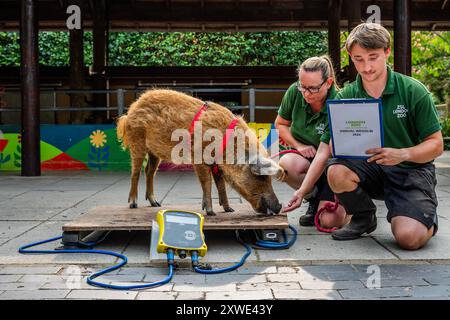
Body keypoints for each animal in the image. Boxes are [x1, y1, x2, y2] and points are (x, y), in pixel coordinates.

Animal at [116, 89, 284, 216]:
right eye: (262, 177)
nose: (279, 206)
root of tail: (131, 110)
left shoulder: (217, 164)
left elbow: (221, 185)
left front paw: (229, 209)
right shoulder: (199, 158)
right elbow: (207, 183)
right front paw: (210, 212)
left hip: (154, 152)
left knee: (149, 171)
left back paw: (156, 204)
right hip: (137, 141)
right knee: (135, 172)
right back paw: (133, 204)